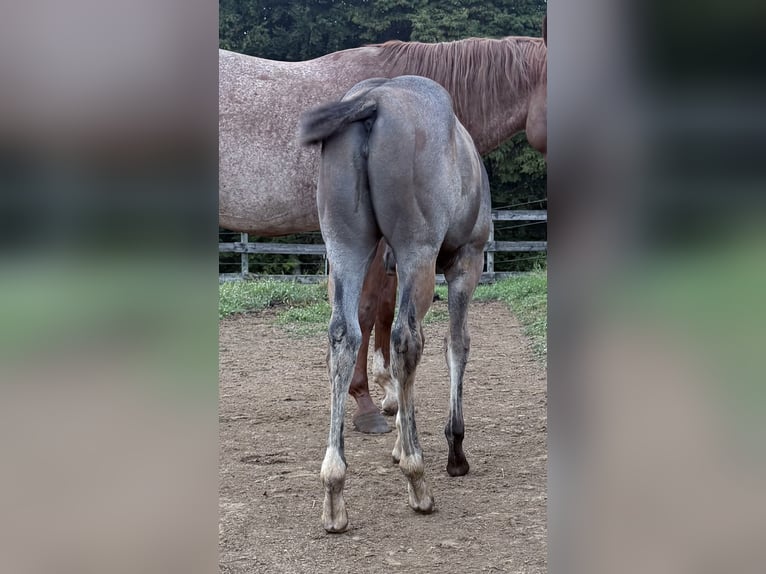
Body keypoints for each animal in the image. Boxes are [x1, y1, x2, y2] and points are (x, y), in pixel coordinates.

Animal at [299, 74, 491, 533]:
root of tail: (372, 101)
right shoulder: (465, 264)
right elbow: (455, 345)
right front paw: (451, 450)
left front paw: (400, 438)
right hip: (417, 254)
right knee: (407, 339)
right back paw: (418, 481)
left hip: (347, 249)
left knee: (343, 337)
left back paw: (334, 492)